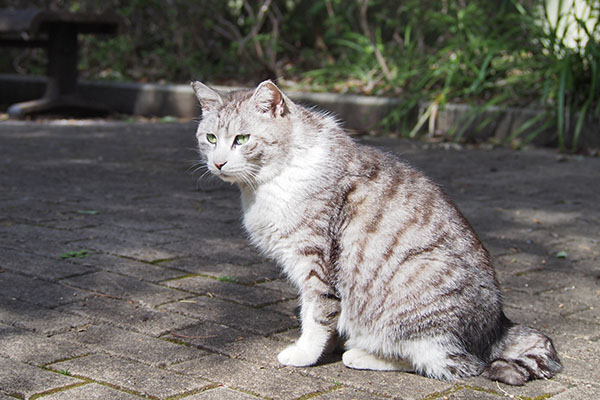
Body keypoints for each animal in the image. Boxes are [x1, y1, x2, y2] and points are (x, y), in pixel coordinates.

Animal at [192, 79, 564, 384]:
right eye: (211, 138)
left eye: (242, 139)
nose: (218, 163)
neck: (266, 183)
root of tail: (498, 325)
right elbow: (325, 316)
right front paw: (330, 345)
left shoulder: (314, 262)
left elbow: (316, 315)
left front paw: (305, 354)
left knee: (452, 363)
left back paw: (363, 354)